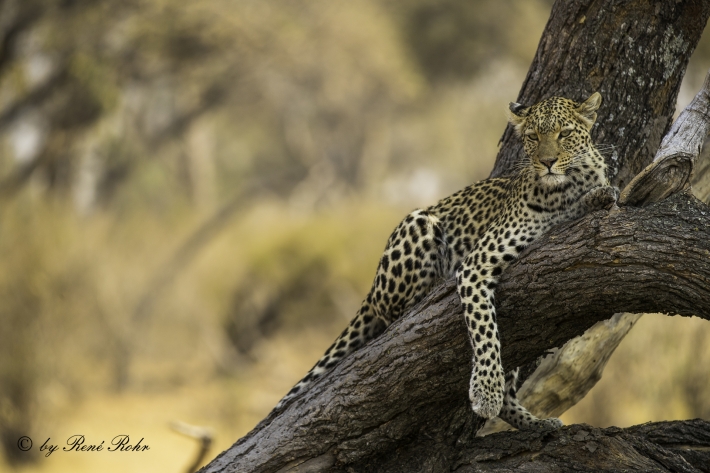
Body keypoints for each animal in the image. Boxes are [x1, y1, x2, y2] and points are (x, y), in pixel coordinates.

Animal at [274, 92, 618, 431]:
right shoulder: (476, 264)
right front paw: (486, 391)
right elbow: (485, 332)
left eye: (565, 134)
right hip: (418, 223)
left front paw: (601, 195)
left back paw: (535, 423)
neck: (565, 187)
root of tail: (371, 291)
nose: (547, 162)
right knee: (394, 315)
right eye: (533, 136)